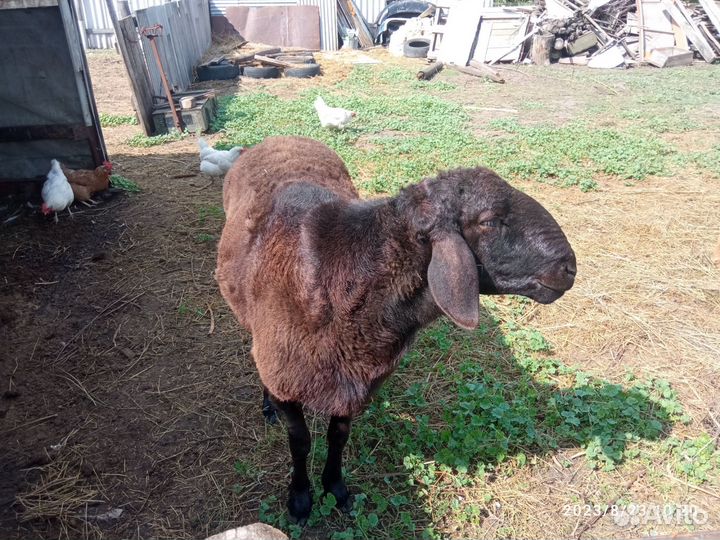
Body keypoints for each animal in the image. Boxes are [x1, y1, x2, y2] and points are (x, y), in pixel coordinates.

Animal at [216, 136, 576, 524]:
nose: (569, 268)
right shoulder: (286, 375)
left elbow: (337, 436)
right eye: (490, 221)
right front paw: (299, 498)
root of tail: (280, 138)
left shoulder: (356, 381)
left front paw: (336, 488)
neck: (339, 271)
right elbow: (300, 442)